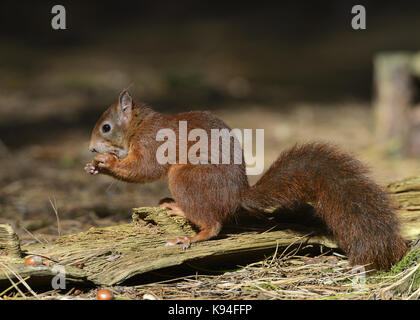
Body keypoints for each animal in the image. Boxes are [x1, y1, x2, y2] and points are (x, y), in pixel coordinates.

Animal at [85, 90, 406, 270]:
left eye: (105, 127)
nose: (90, 149)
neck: (140, 125)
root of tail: (237, 197)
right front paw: (95, 166)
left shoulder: (152, 144)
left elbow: (144, 169)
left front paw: (107, 163)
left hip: (185, 178)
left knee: (214, 224)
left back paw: (189, 231)